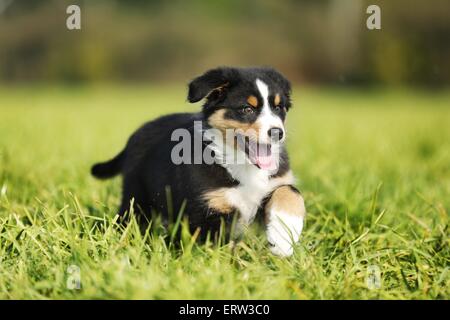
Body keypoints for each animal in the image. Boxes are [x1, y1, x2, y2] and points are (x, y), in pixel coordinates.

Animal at [93, 66, 308, 256]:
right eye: (247, 109)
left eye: (278, 108)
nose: (278, 133)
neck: (241, 164)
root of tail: (135, 136)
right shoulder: (207, 211)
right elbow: (222, 248)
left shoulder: (274, 183)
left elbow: (291, 191)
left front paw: (283, 238)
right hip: (136, 198)